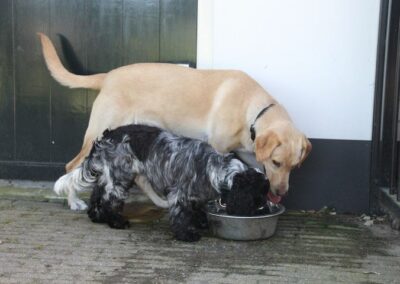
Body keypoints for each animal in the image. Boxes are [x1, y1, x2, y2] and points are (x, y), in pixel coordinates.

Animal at [54, 125, 268, 242]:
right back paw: (116, 222)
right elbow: (181, 214)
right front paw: (186, 234)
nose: (263, 208)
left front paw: (201, 222)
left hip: (112, 175)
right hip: (120, 176)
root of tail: (105, 137)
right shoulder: (179, 193)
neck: (211, 167)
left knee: (97, 194)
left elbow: (196, 208)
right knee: (109, 200)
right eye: (258, 196)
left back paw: (97, 217)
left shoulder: (195, 195)